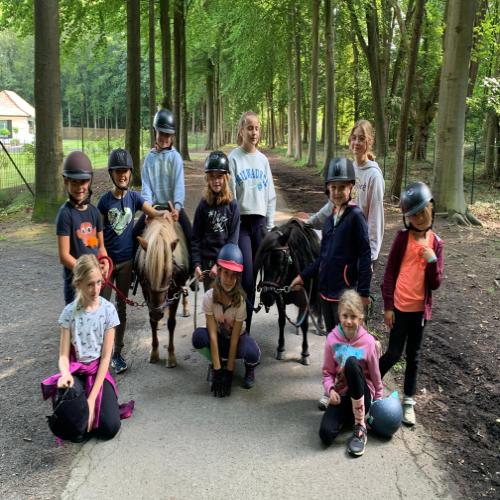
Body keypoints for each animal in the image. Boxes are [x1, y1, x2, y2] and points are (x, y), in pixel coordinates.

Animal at [136, 218, 190, 367]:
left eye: (169, 274)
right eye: (146, 274)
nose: (156, 312)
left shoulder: (175, 292)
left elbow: (171, 323)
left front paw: (171, 356)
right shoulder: (146, 292)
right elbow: (152, 322)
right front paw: (154, 352)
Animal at [253, 218, 322, 365]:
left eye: (281, 260)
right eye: (263, 261)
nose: (267, 297)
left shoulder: (305, 301)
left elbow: (305, 325)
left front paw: (305, 353)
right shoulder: (280, 299)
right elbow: (282, 321)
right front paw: (281, 348)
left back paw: (320, 324)